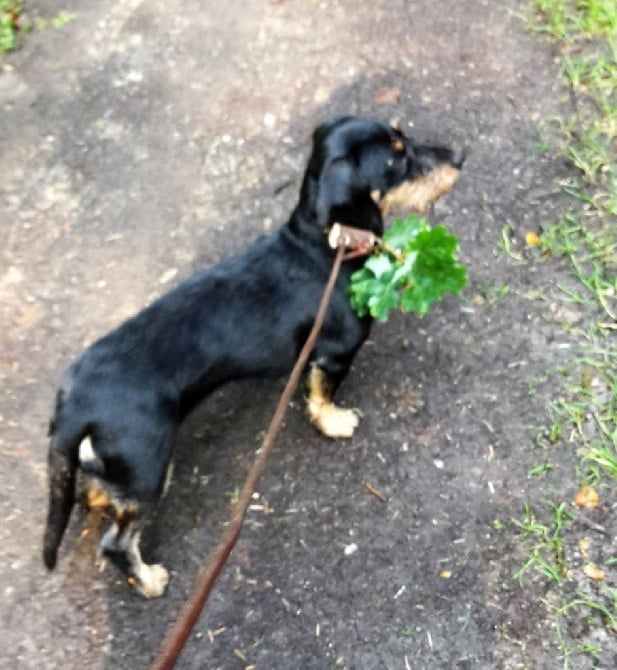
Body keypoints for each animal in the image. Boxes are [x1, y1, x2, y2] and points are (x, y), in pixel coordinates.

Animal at [42, 117, 462, 600]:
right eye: (396, 158)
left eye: (403, 136)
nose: (460, 157)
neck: (326, 247)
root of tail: (73, 402)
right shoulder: (333, 355)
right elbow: (321, 397)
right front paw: (335, 422)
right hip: (149, 469)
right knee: (117, 542)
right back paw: (148, 580)